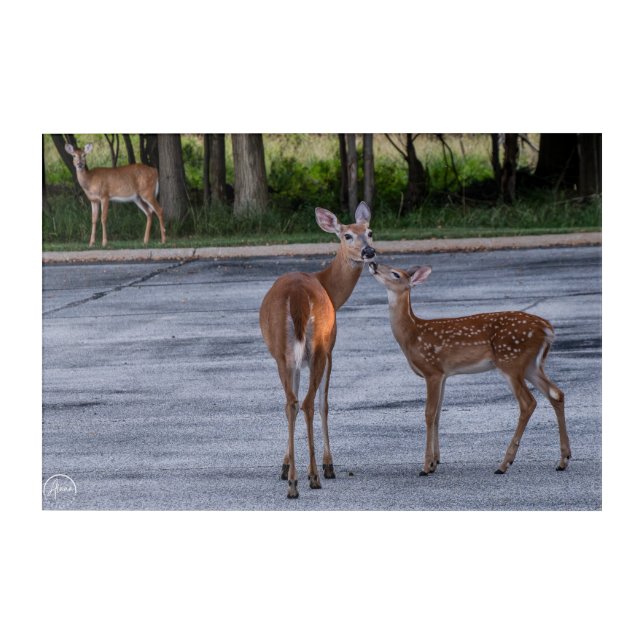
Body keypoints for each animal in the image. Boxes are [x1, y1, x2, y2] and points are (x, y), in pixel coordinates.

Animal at [259, 202, 376, 499]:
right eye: (347, 235)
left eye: (370, 232)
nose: (369, 252)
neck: (330, 289)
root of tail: (298, 296)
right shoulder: (330, 350)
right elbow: (325, 403)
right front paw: (328, 464)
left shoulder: (294, 360)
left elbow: (292, 399)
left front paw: (284, 465)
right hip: (319, 346)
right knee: (310, 403)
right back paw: (313, 476)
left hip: (281, 351)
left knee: (291, 403)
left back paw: (292, 481)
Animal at [368, 261, 571, 476]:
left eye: (395, 274)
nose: (372, 262)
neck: (411, 335)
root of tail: (546, 328)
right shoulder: (444, 374)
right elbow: (438, 414)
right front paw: (435, 462)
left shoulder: (432, 370)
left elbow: (429, 414)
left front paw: (425, 466)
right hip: (532, 365)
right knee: (556, 394)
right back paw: (563, 460)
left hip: (510, 361)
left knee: (528, 402)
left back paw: (504, 464)